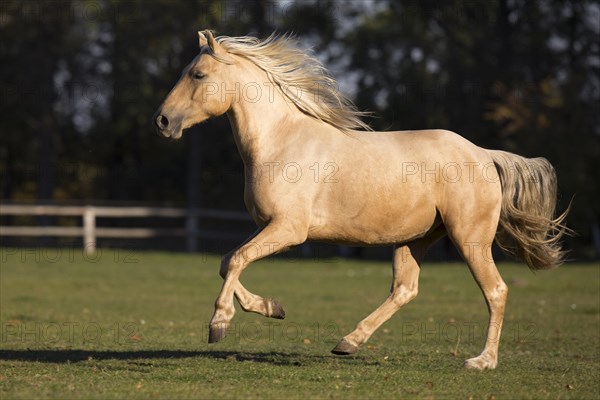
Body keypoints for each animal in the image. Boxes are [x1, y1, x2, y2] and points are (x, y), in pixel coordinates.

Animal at [152, 29, 568, 370]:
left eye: (198, 74)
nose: (162, 121)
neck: (281, 141)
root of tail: (483, 154)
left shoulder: (289, 229)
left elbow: (237, 260)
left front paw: (219, 323)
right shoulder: (267, 227)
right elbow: (227, 262)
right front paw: (273, 308)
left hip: (469, 238)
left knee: (495, 291)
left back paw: (482, 361)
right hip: (415, 239)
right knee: (405, 290)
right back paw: (348, 342)